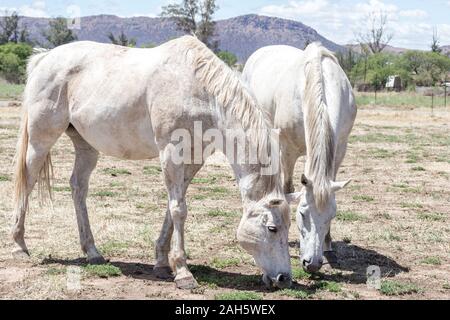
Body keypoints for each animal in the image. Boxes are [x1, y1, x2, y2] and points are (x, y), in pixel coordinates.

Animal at [11, 36, 296, 288]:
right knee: (28, 180)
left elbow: (173, 208)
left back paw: (92, 252)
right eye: (272, 228)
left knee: (78, 188)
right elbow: (179, 209)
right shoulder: (170, 153)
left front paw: (161, 261)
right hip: (40, 140)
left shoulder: (193, 160)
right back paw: (19, 246)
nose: (284, 279)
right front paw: (183, 273)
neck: (200, 91)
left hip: (86, 147)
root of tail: (45, 57)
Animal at [244, 42, 356, 272]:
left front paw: (328, 243)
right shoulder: (288, 150)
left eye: (332, 215)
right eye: (303, 214)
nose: (312, 264)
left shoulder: (340, 150)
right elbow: (288, 190)